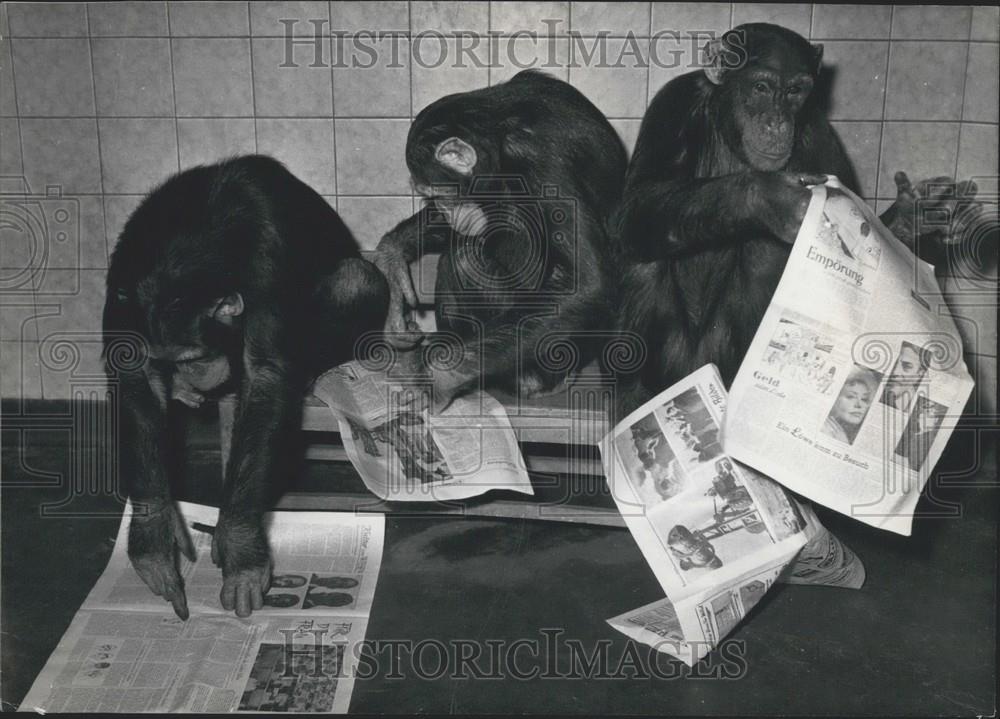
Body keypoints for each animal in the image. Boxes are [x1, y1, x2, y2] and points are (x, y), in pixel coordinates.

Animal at [101, 156, 388, 620]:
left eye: (194, 356)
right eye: (171, 360)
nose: (188, 374)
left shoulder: (266, 268)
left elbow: (266, 375)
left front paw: (239, 547)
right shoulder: (124, 287)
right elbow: (134, 377)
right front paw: (154, 536)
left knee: (354, 278)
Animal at [372, 71, 628, 410]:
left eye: (440, 194)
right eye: (431, 198)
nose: (445, 211)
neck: (499, 134)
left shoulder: (545, 162)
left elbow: (588, 282)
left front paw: (435, 379)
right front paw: (391, 262)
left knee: (469, 254)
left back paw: (527, 380)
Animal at [616, 22, 984, 414]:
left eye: (795, 90)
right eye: (761, 88)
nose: (777, 122)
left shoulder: (818, 129)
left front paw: (915, 215)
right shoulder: (672, 104)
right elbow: (637, 204)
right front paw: (768, 198)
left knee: (765, 250)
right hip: (676, 366)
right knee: (643, 256)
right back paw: (635, 399)